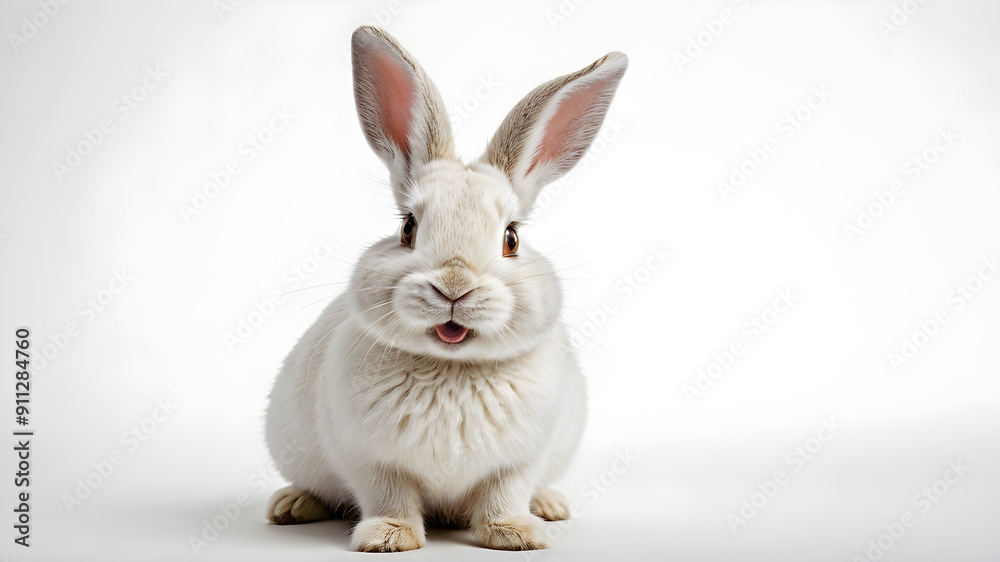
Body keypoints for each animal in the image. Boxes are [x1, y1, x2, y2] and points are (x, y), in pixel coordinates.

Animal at [264, 25, 627, 552]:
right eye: (407, 228)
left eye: (511, 238)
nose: (454, 287)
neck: (451, 368)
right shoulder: (371, 461)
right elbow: (389, 496)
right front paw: (388, 538)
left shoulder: (519, 462)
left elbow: (504, 493)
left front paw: (516, 535)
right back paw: (291, 506)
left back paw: (549, 506)